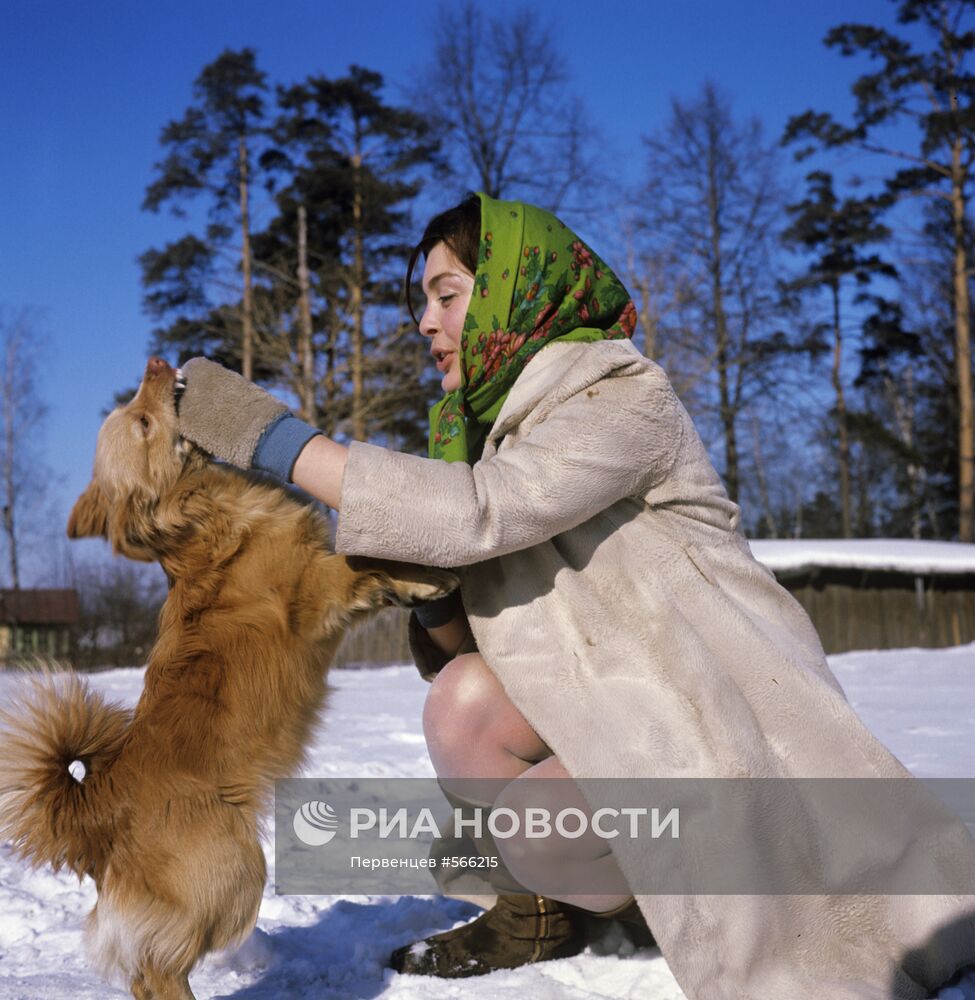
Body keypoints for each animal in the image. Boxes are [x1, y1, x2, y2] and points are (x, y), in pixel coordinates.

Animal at [0, 356, 458, 996]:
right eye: (143, 423)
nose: (157, 363)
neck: (199, 510)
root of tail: (97, 810)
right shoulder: (313, 595)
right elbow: (355, 560)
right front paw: (426, 578)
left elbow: (371, 568)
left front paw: (416, 581)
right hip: (235, 870)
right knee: (157, 967)